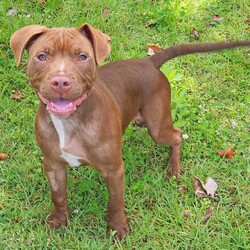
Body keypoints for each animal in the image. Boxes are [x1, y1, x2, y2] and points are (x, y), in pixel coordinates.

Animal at [10, 23, 250, 240]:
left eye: (82, 56)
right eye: (41, 57)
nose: (60, 81)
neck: (69, 120)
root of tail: (148, 61)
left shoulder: (114, 170)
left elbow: (115, 203)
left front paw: (118, 229)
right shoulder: (53, 164)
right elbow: (58, 196)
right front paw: (59, 222)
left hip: (158, 126)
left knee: (177, 135)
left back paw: (173, 169)